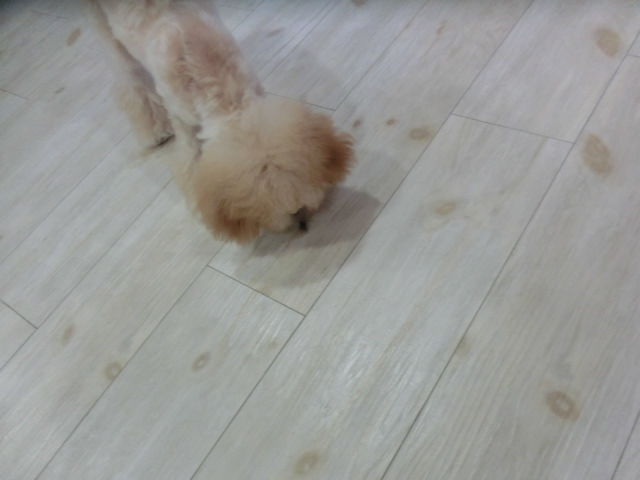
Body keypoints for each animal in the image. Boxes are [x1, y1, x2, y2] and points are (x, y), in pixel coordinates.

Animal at [90, 0, 354, 243]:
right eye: (278, 207)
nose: (302, 222)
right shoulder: (182, 119)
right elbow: (190, 163)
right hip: (108, 33)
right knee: (130, 77)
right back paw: (154, 130)